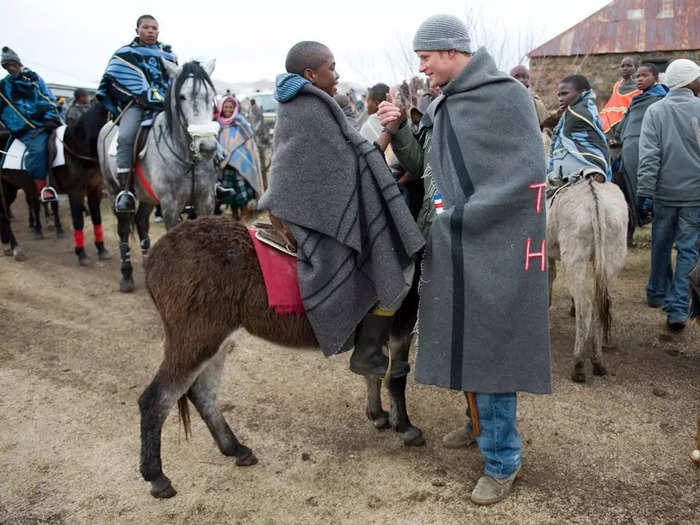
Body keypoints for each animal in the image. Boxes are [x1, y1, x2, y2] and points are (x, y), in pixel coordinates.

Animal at [98, 60, 219, 294]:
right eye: (182, 96)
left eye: (211, 96)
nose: (207, 147)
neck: (187, 157)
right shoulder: (170, 205)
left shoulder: (205, 200)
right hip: (113, 190)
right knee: (124, 228)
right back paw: (126, 275)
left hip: (146, 196)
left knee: (141, 222)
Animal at [138, 217, 422, 500]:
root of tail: (155, 257)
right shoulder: (402, 327)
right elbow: (396, 380)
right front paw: (406, 427)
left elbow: (372, 373)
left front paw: (378, 415)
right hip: (196, 340)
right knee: (156, 399)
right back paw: (157, 477)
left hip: (215, 341)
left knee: (202, 394)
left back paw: (236, 449)